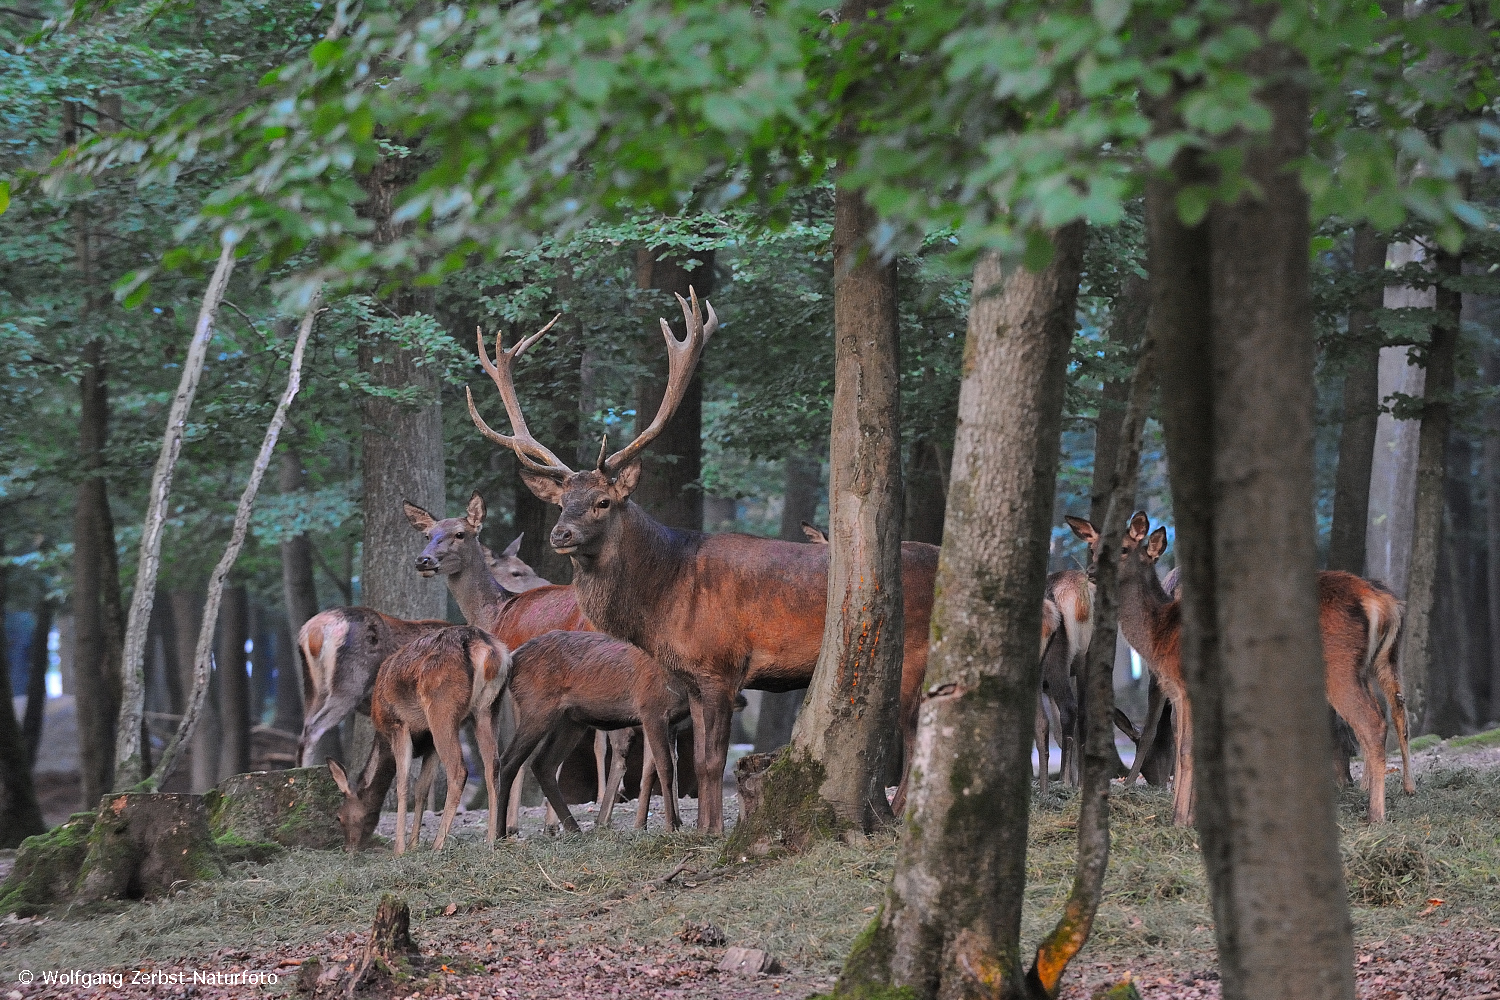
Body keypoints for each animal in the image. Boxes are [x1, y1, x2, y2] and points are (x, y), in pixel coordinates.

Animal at [327, 626, 510, 851]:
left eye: (339, 817)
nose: (348, 849)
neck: (382, 738)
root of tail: (484, 646)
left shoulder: (397, 725)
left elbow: (403, 784)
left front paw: (400, 849)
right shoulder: (429, 741)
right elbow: (421, 786)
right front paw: (414, 843)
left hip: (442, 708)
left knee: (458, 770)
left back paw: (438, 844)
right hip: (488, 708)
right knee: (493, 766)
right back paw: (491, 840)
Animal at [468, 290, 936, 839]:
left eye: (603, 502)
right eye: (563, 501)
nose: (560, 534)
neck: (665, 596)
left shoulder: (722, 665)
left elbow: (711, 760)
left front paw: (709, 832)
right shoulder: (690, 676)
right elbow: (697, 760)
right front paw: (704, 829)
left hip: (912, 657)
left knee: (918, 734)